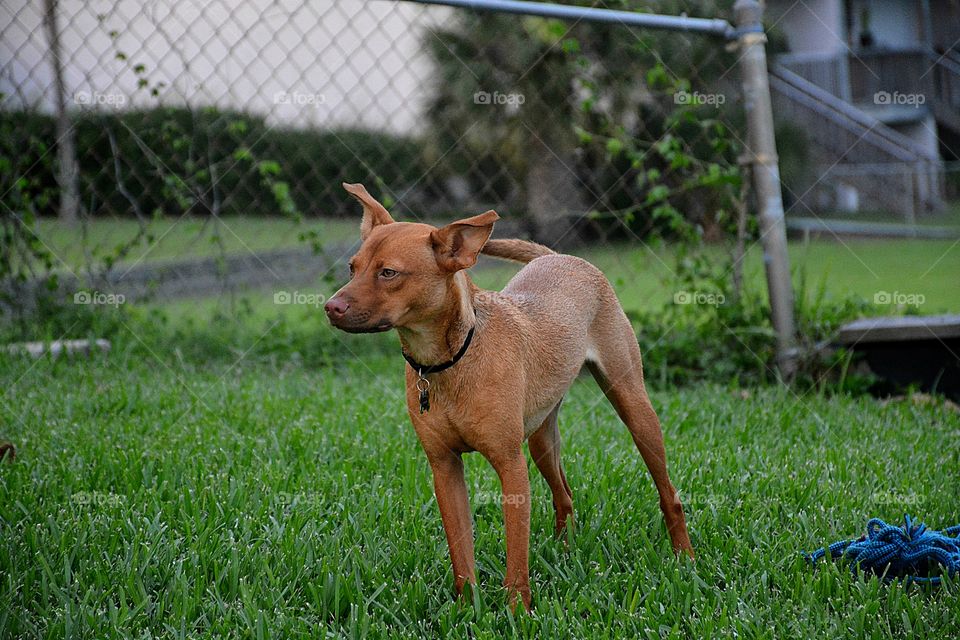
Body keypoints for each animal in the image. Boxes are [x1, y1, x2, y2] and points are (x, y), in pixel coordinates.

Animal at [326, 184, 692, 608]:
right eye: (352, 268)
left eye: (389, 273)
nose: (330, 307)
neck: (449, 361)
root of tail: (559, 257)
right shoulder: (444, 468)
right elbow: (461, 550)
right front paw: (467, 605)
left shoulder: (510, 466)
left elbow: (516, 549)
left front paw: (518, 607)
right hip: (541, 440)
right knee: (564, 496)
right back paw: (563, 553)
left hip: (634, 410)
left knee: (669, 495)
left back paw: (684, 557)